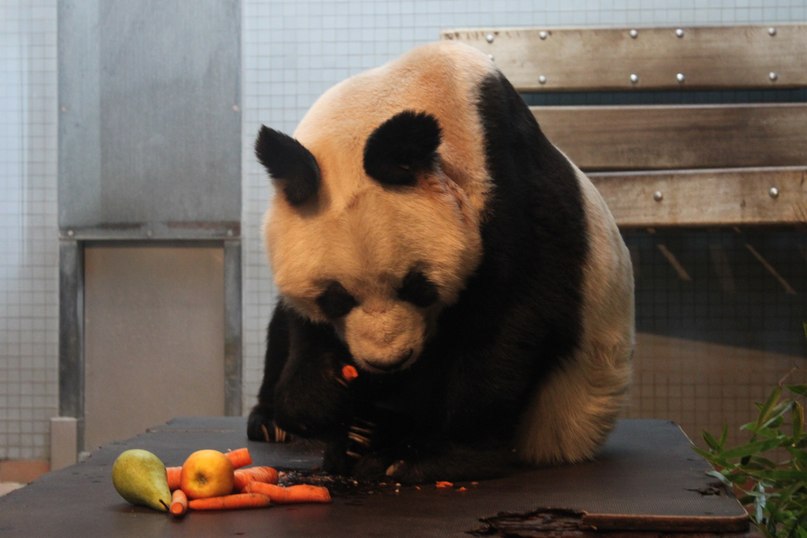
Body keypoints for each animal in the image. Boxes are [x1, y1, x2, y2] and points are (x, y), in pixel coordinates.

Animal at [247, 41, 634, 483]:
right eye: (336, 298)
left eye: (418, 287)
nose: (388, 361)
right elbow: (300, 327)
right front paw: (326, 402)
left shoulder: (508, 193)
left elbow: (511, 318)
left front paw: (439, 453)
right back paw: (288, 425)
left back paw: (384, 441)